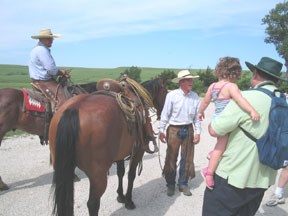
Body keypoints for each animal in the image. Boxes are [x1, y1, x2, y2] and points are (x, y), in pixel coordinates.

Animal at [49, 78, 166, 216]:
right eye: (165, 91)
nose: (162, 112)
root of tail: (73, 109)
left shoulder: (120, 153)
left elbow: (121, 172)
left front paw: (120, 196)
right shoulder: (139, 151)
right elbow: (131, 175)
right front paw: (128, 201)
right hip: (98, 177)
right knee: (93, 204)